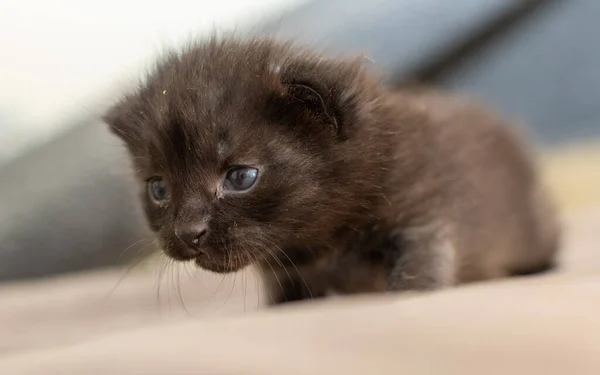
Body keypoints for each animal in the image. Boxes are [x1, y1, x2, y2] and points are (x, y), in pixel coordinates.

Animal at [103, 36, 556, 304]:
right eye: (158, 189)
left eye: (240, 177)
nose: (187, 232)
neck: (317, 245)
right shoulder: (283, 271)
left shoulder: (423, 209)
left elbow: (417, 276)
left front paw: (409, 295)